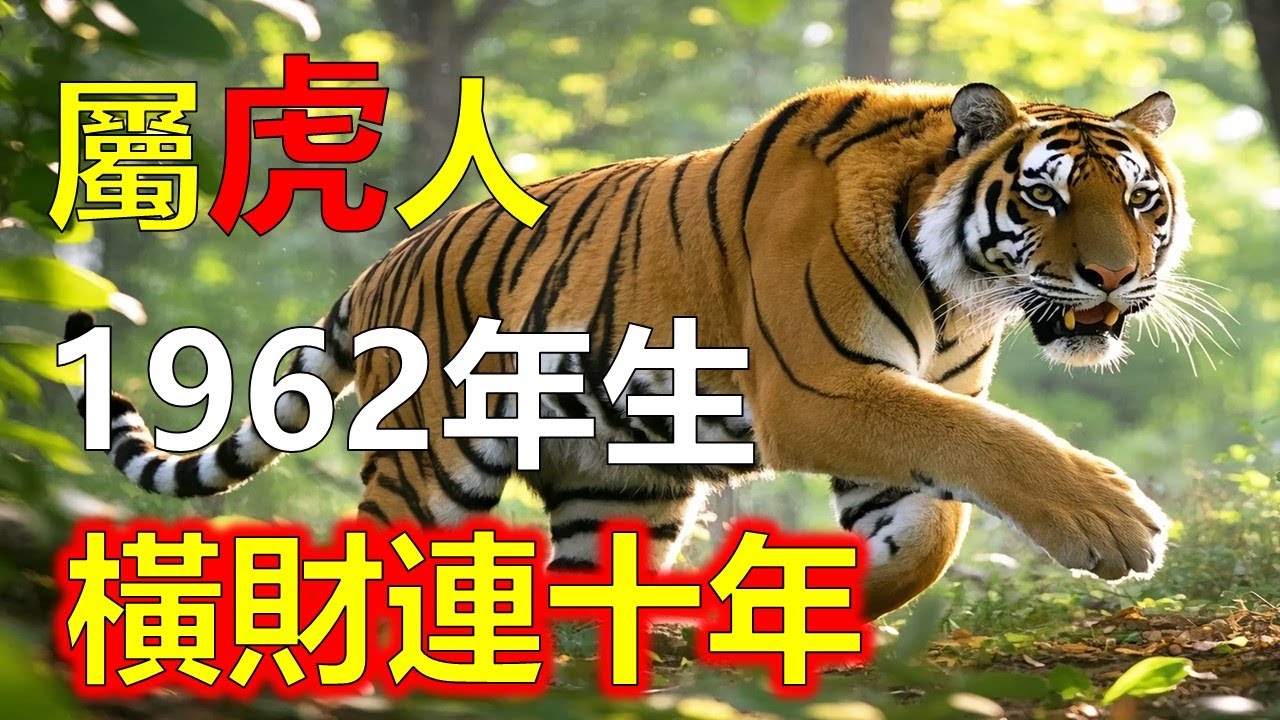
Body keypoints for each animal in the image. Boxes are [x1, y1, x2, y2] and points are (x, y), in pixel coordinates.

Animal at [66, 80, 1185, 620]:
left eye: (1140, 200)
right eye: (1044, 195)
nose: (1112, 277)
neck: (962, 296)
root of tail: (380, 267)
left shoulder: (899, 417)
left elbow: (929, 533)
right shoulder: (821, 389)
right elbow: (995, 443)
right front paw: (1112, 523)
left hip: (620, 487)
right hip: (431, 472)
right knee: (370, 559)